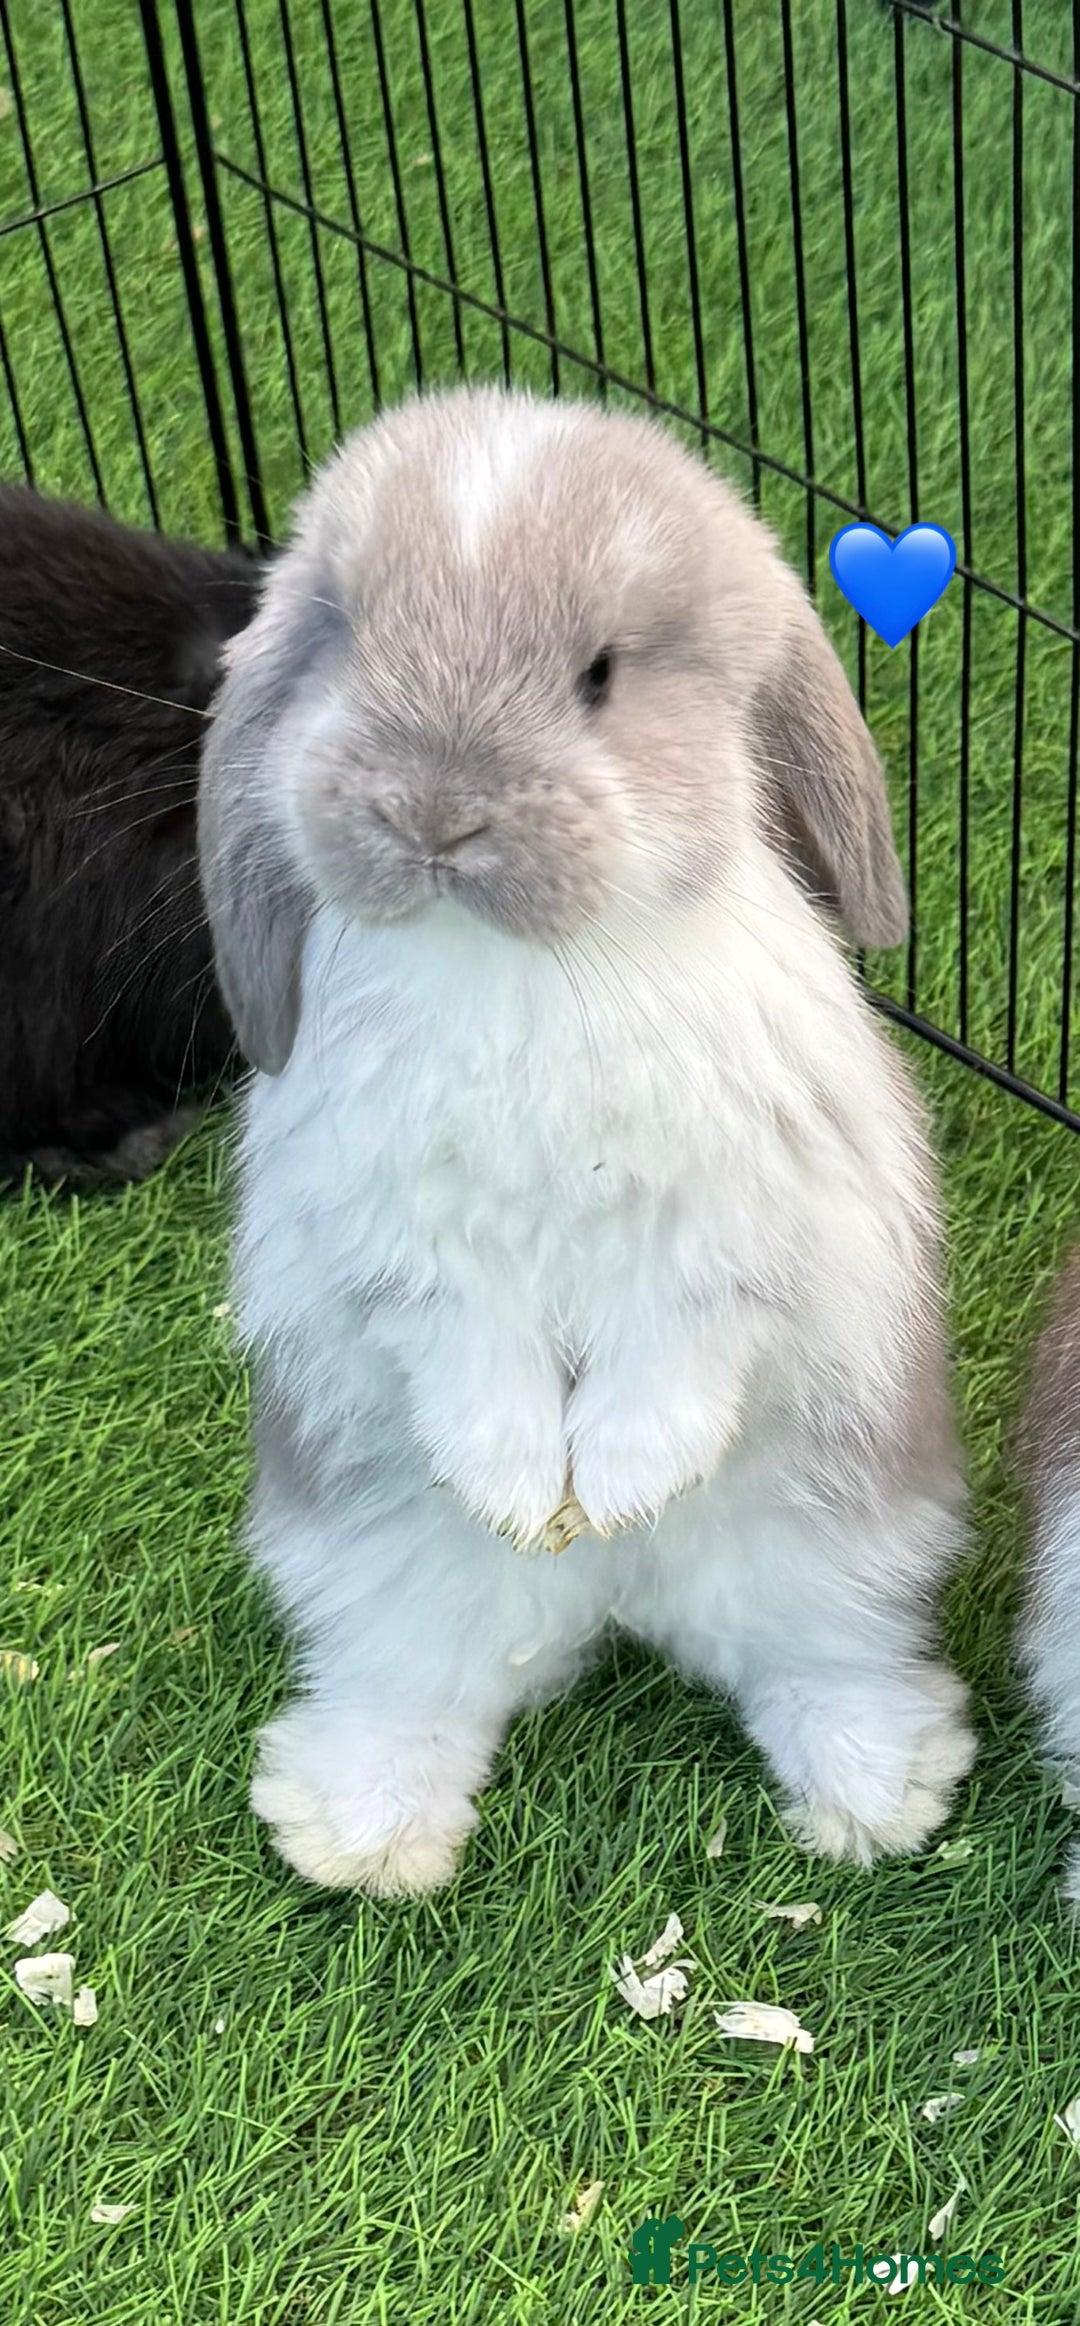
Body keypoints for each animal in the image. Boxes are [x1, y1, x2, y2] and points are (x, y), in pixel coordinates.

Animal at [198, 384, 977, 1897]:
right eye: (343, 635)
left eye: (602, 674)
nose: (432, 811)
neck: (526, 970)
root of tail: (618, 1606)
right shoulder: (401, 1240)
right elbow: (463, 1347)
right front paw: (523, 1485)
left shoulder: (733, 1230)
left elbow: (679, 1341)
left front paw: (614, 1480)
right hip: (371, 1565)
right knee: (412, 1684)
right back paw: (365, 1826)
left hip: (845, 1538)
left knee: (820, 1660)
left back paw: (876, 1790)